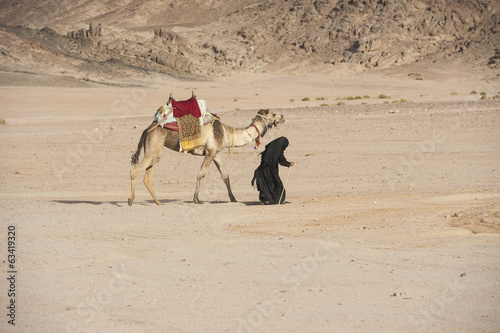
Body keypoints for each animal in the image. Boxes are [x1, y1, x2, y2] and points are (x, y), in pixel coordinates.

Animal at [129, 107, 286, 204]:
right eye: (273, 114)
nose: (283, 117)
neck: (226, 133)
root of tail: (149, 128)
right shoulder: (210, 152)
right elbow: (201, 175)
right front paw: (196, 199)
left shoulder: (216, 153)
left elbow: (225, 176)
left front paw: (233, 198)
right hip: (154, 147)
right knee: (134, 171)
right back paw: (131, 200)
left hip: (153, 149)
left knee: (147, 177)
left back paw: (158, 202)